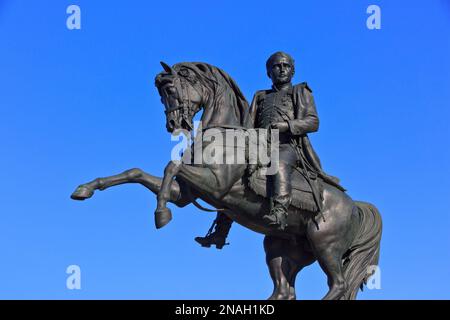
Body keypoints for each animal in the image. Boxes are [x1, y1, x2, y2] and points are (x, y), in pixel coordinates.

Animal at [72, 62, 382, 300]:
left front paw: (161, 214)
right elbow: (137, 172)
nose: (173, 125)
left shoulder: (216, 187)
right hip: (281, 248)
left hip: (326, 244)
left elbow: (172, 166)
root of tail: (354, 205)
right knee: (284, 291)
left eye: (170, 90)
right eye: (160, 94)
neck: (220, 135)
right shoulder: (185, 194)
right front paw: (85, 188)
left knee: (339, 285)